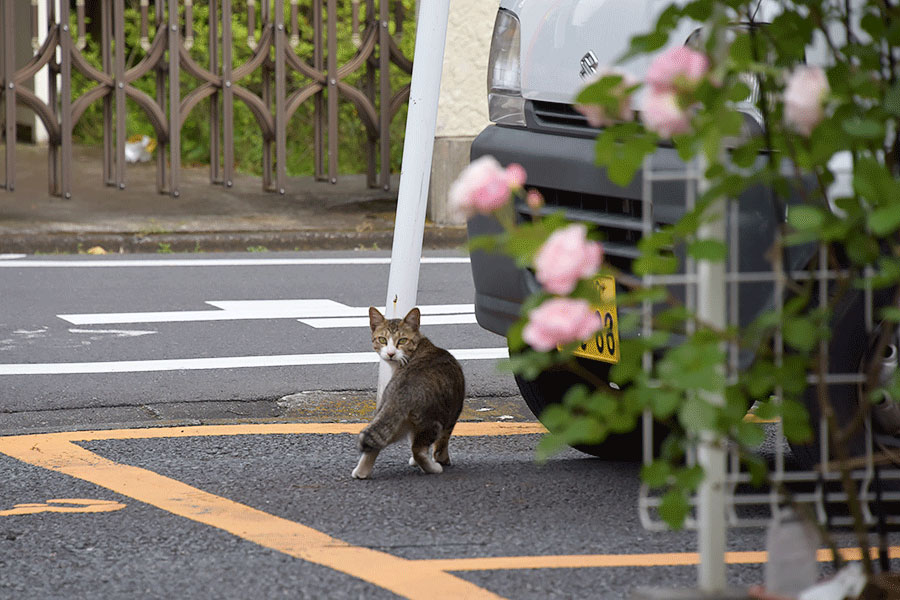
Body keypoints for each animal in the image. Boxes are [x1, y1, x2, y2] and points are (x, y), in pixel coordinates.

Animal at [350, 308, 464, 480]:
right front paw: (442, 459)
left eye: (402, 340)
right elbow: (441, 443)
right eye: (382, 340)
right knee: (418, 450)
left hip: (397, 422)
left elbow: (412, 441)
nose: (391, 353)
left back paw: (361, 472)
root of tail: (400, 393)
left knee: (376, 443)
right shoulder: (453, 413)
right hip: (433, 420)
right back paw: (433, 468)